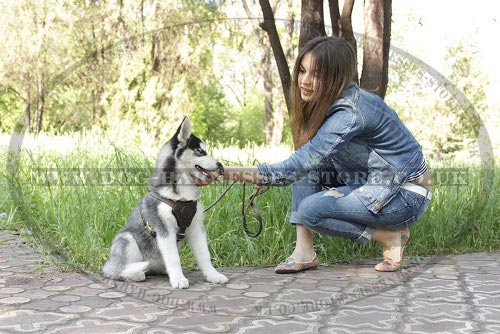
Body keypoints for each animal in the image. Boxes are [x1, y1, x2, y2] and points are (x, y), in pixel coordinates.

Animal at [103, 116, 229, 288]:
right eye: (200, 151)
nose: (220, 165)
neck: (181, 196)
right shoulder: (164, 229)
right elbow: (173, 258)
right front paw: (178, 279)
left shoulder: (196, 227)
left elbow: (204, 254)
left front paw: (213, 275)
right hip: (127, 238)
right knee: (115, 270)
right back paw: (134, 274)